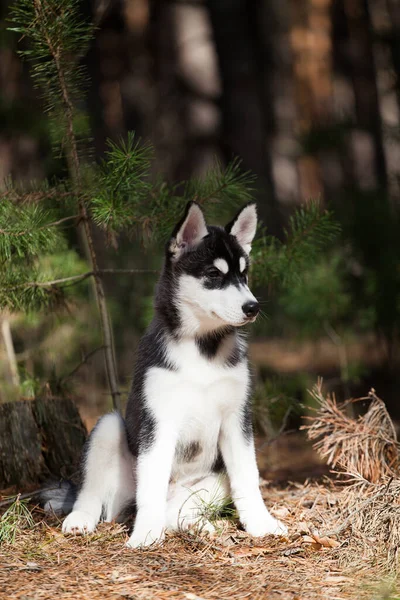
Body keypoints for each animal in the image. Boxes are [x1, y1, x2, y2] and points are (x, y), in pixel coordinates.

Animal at [59, 203, 288, 548]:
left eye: (244, 275)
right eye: (214, 275)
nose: (253, 307)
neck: (203, 348)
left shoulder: (237, 419)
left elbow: (249, 477)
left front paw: (261, 523)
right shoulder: (158, 421)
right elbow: (151, 485)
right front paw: (145, 535)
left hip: (213, 478)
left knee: (177, 508)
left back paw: (195, 525)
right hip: (109, 429)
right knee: (95, 494)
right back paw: (81, 519)